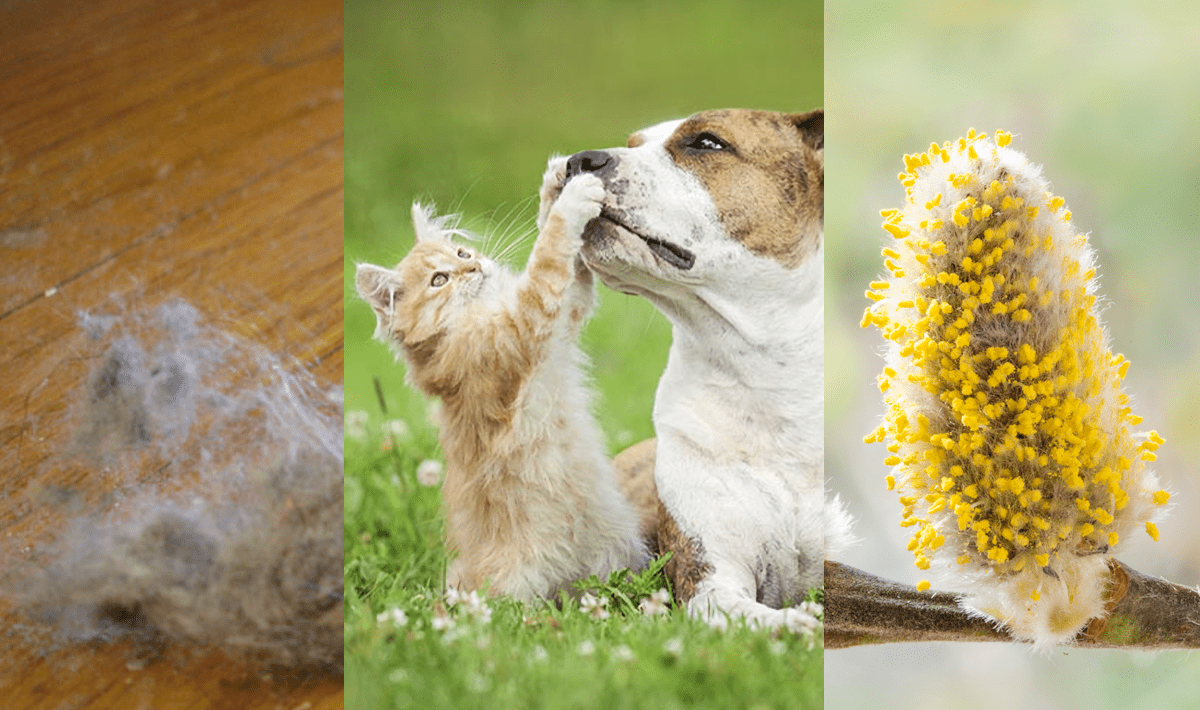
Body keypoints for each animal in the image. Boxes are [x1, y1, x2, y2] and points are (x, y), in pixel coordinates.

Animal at [355, 161, 652, 599]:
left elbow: (566, 267)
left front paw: (554, 184)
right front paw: (572, 197)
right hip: (515, 586)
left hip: (620, 552)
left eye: (462, 253)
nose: (474, 266)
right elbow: (547, 255)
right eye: (440, 280)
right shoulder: (520, 329)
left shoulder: (564, 317)